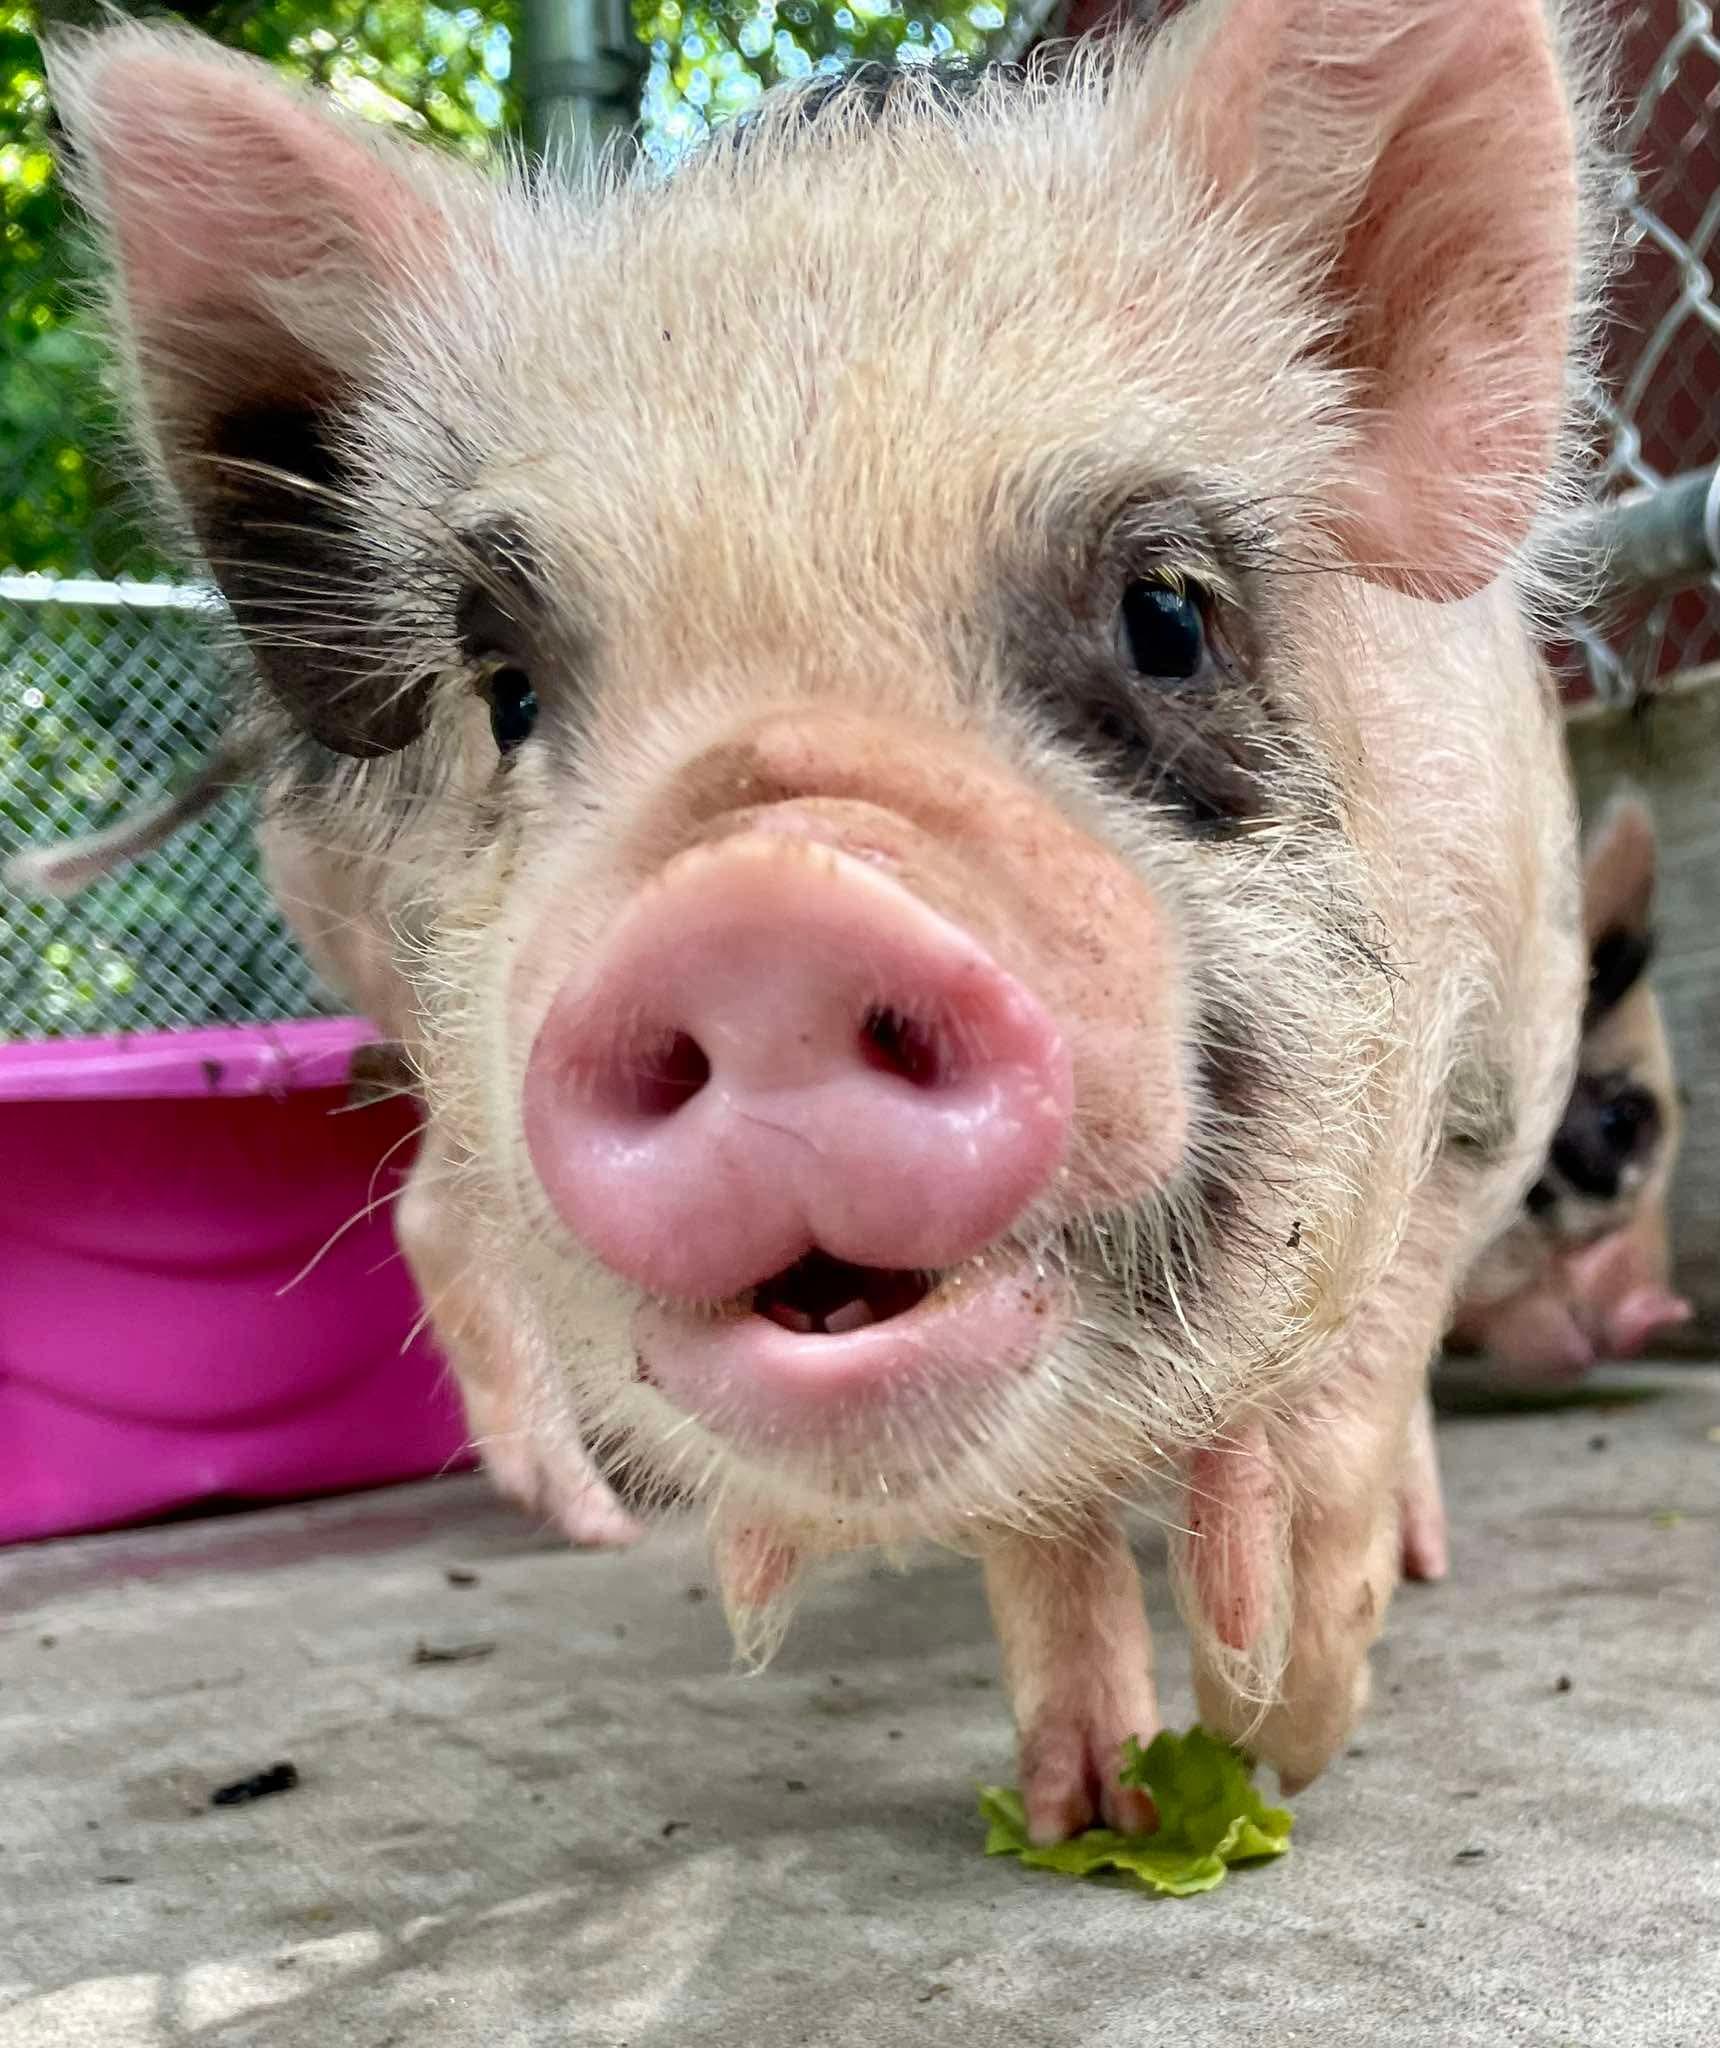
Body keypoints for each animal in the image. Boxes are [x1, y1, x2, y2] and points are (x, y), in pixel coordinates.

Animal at [27, 0, 1605, 1839]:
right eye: (506, 693)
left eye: (1167, 616)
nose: (762, 910)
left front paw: (1272, 1736)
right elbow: (1037, 1529)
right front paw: (1087, 1814)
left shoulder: (1505, 1063)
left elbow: (1352, 1383)